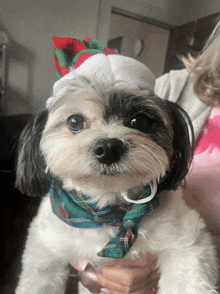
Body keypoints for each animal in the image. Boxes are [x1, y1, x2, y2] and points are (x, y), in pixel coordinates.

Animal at [15, 51, 218, 292]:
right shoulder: (45, 252)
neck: (110, 213)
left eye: (139, 120)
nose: (109, 147)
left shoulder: (187, 244)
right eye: (75, 121)